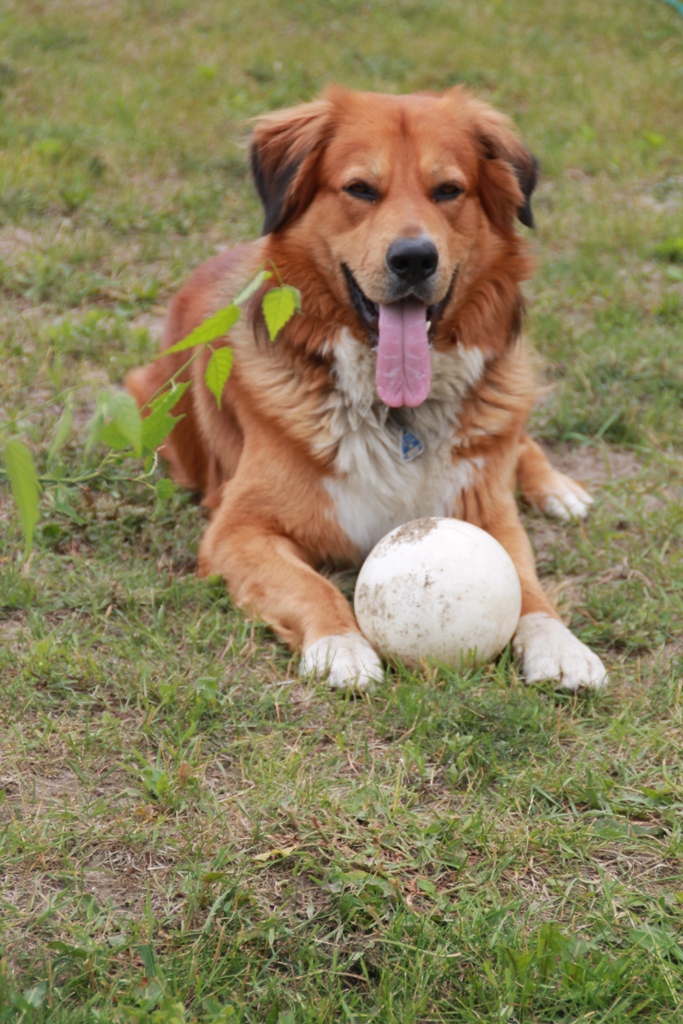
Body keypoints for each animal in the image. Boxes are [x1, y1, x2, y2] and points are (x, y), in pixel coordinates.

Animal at [127, 88, 610, 692]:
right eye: (360, 189)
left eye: (447, 190)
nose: (414, 258)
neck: (396, 416)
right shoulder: (237, 531)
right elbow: (311, 584)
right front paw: (340, 644)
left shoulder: (491, 514)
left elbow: (527, 585)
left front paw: (560, 644)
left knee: (520, 440)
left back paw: (558, 489)